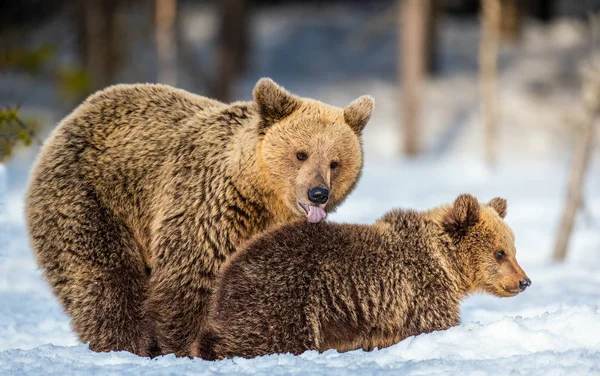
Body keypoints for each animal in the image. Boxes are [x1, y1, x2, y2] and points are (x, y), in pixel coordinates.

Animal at [25, 77, 372, 356]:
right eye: (301, 154)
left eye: (335, 162)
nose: (318, 193)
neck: (259, 197)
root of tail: (71, 118)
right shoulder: (208, 210)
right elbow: (191, 281)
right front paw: (189, 345)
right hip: (89, 198)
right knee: (105, 279)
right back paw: (125, 344)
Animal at [195, 194, 532, 358]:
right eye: (500, 252)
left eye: (513, 249)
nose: (524, 281)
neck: (446, 262)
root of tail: (227, 274)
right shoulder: (422, 290)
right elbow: (434, 325)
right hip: (284, 301)